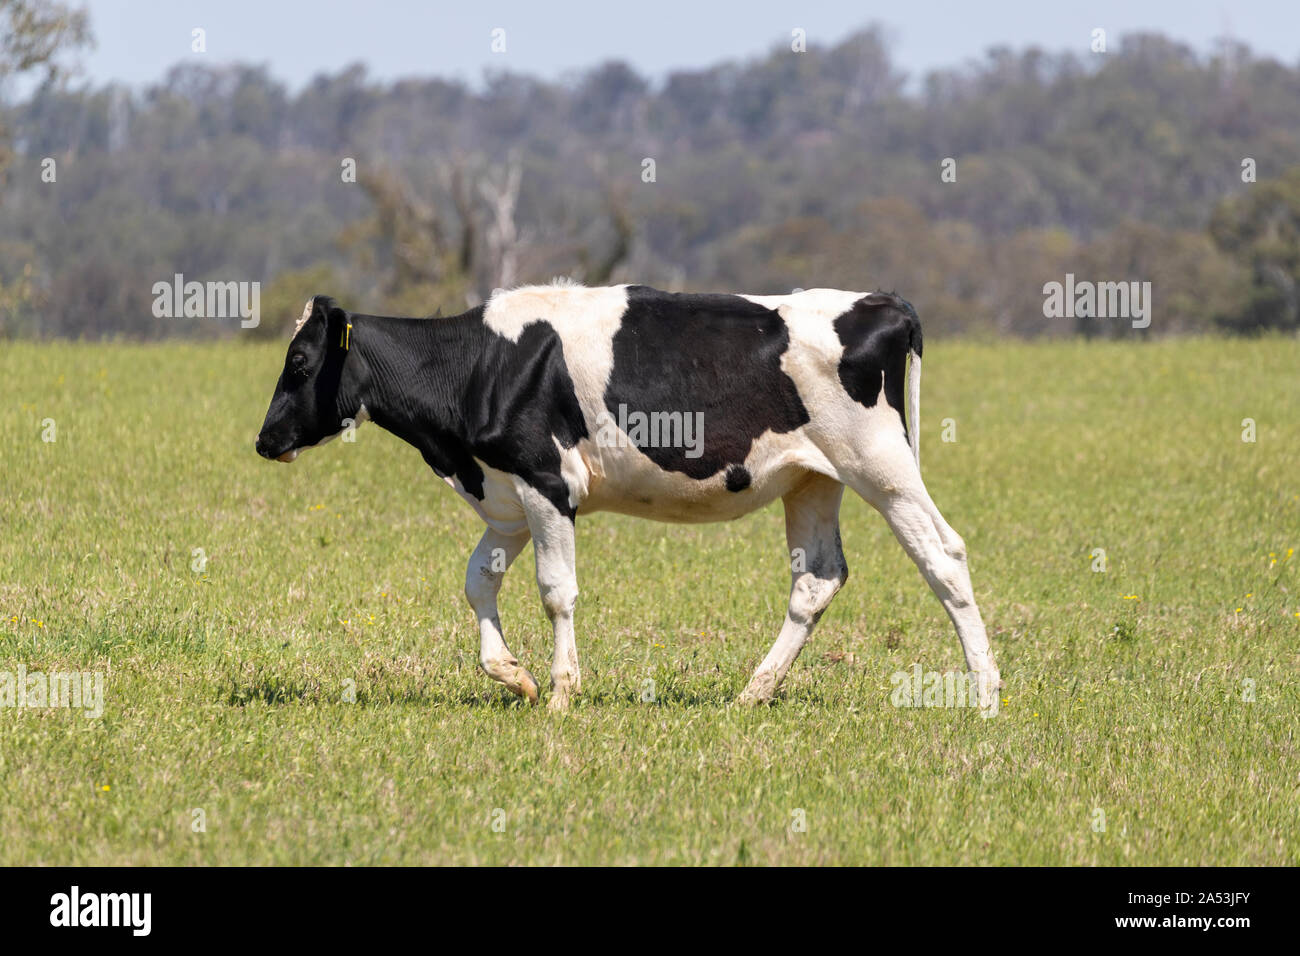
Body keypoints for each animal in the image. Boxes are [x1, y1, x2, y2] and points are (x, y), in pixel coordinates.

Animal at [255, 283, 1001, 711]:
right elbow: (475, 582)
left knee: (944, 555)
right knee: (817, 580)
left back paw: (985, 693)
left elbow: (556, 592)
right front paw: (512, 675)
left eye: (299, 362)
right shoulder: (507, 495)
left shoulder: (547, 483)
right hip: (813, 479)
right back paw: (752, 694)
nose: (264, 441)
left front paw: (560, 694)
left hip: (882, 464)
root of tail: (882, 301)